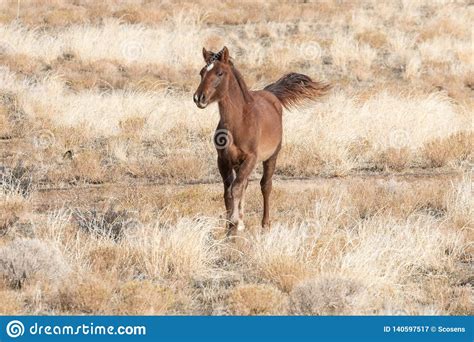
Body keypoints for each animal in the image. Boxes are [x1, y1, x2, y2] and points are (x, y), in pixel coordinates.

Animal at [193, 46, 330, 234]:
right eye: (201, 73)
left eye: (220, 73)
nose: (199, 98)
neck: (239, 122)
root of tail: (270, 94)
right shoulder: (223, 160)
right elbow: (228, 191)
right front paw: (232, 224)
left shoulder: (251, 158)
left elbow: (236, 188)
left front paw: (233, 223)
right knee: (245, 184)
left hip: (272, 156)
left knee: (265, 185)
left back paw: (265, 224)